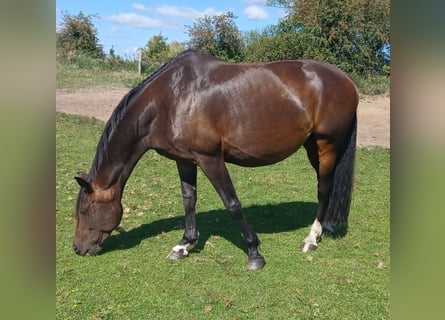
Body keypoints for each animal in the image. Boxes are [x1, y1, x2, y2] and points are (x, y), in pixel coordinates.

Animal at [73, 49, 358, 270]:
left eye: (85, 210)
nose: (78, 248)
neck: (170, 100)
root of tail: (347, 80)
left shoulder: (210, 158)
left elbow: (232, 203)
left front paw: (254, 253)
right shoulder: (185, 160)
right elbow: (189, 200)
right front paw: (184, 245)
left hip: (327, 144)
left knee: (324, 188)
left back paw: (311, 238)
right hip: (312, 146)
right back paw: (325, 228)